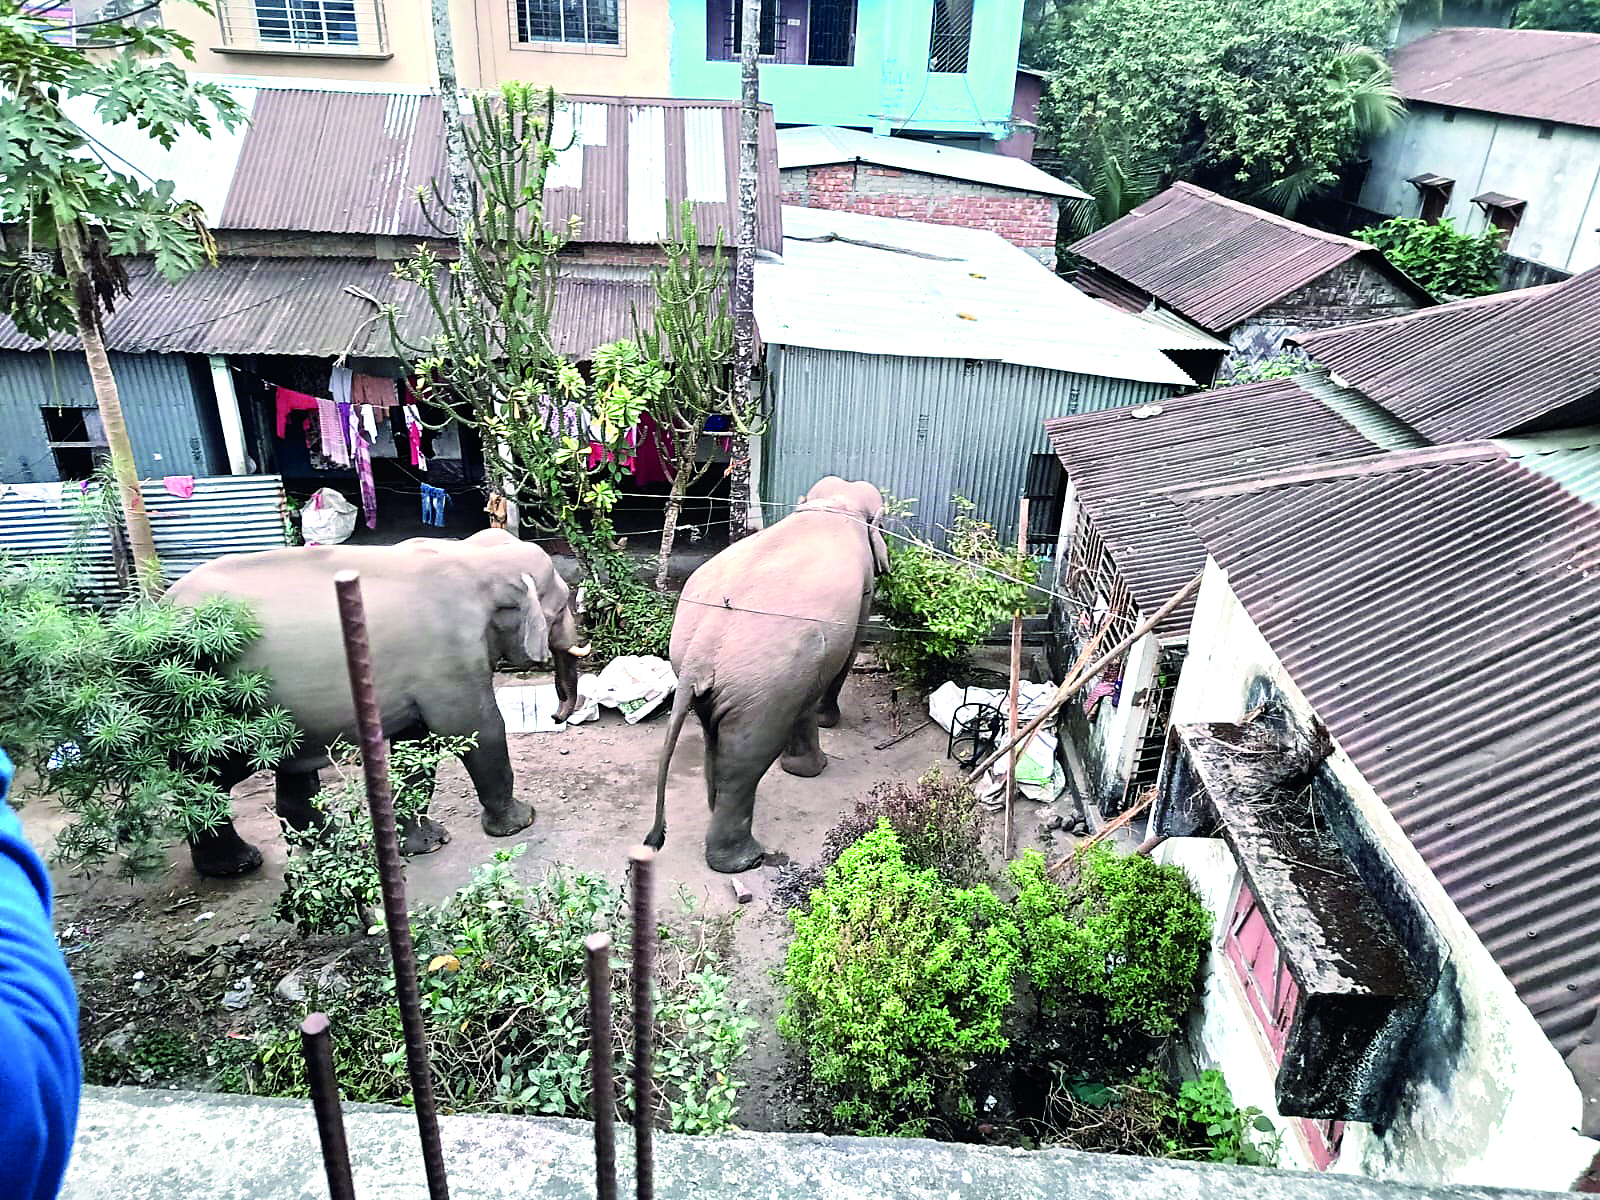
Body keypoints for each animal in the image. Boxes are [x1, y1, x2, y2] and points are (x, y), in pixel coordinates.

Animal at [164, 529, 590, 878]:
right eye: (561, 608)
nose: (557, 715)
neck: (472, 557)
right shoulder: (449, 653)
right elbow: (473, 729)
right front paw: (520, 823)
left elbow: (415, 746)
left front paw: (427, 844)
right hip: (208, 702)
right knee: (208, 778)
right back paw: (239, 864)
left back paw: (332, 845)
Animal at [646, 476, 888, 872]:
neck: (835, 500)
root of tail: (700, 650)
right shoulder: (864, 588)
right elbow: (850, 649)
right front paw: (826, 727)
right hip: (761, 688)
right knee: (747, 758)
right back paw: (747, 860)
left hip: (735, 680)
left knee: (720, 741)